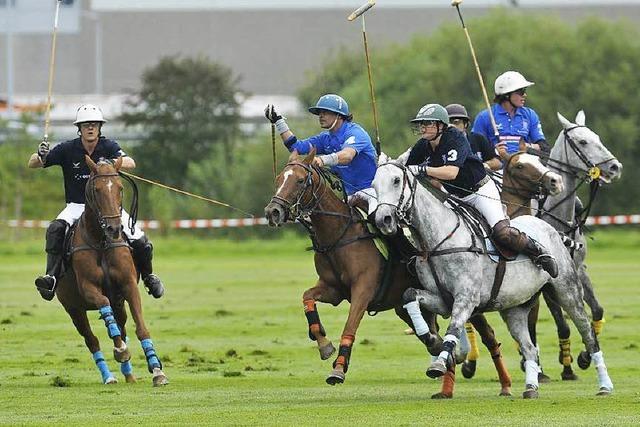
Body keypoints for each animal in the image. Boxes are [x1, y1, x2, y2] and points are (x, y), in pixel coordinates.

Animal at [53, 156, 168, 388]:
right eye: (96, 190)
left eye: (120, 188)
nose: (114, 228)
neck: (101, 241)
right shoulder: (89, 288)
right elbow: (103, 307)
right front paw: (120, 351)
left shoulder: (128, 286)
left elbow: (140, 327)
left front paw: (157, 371)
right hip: (73, 308)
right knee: (92, 339)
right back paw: (109, 376)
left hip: (119, 302)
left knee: (122, 327)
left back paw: (129, 374)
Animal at [262, 150, 512, 398]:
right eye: (279, 179)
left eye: (299, 180)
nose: (272, 211)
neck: (339, 235)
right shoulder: (332, 289)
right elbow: (307, 298)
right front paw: (323, 344)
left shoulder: (363, 290)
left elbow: (350, 326)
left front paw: (339, 369)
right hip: (406, 306)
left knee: (489, 336)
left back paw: (504, 383)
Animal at [376, 159, 616, 400]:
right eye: (374, 184)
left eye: (396, 180)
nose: (383, 220)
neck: (436, 241)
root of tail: (552, 230)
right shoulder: (443, 299)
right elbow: (410, 296)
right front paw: (431, 340)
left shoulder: (466, 298)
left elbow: (453, 329)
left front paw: (439, 364)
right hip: (515, 307)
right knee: (529, 347)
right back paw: (531, 387)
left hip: (567, 291)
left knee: (588, 334)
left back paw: (604, 385)